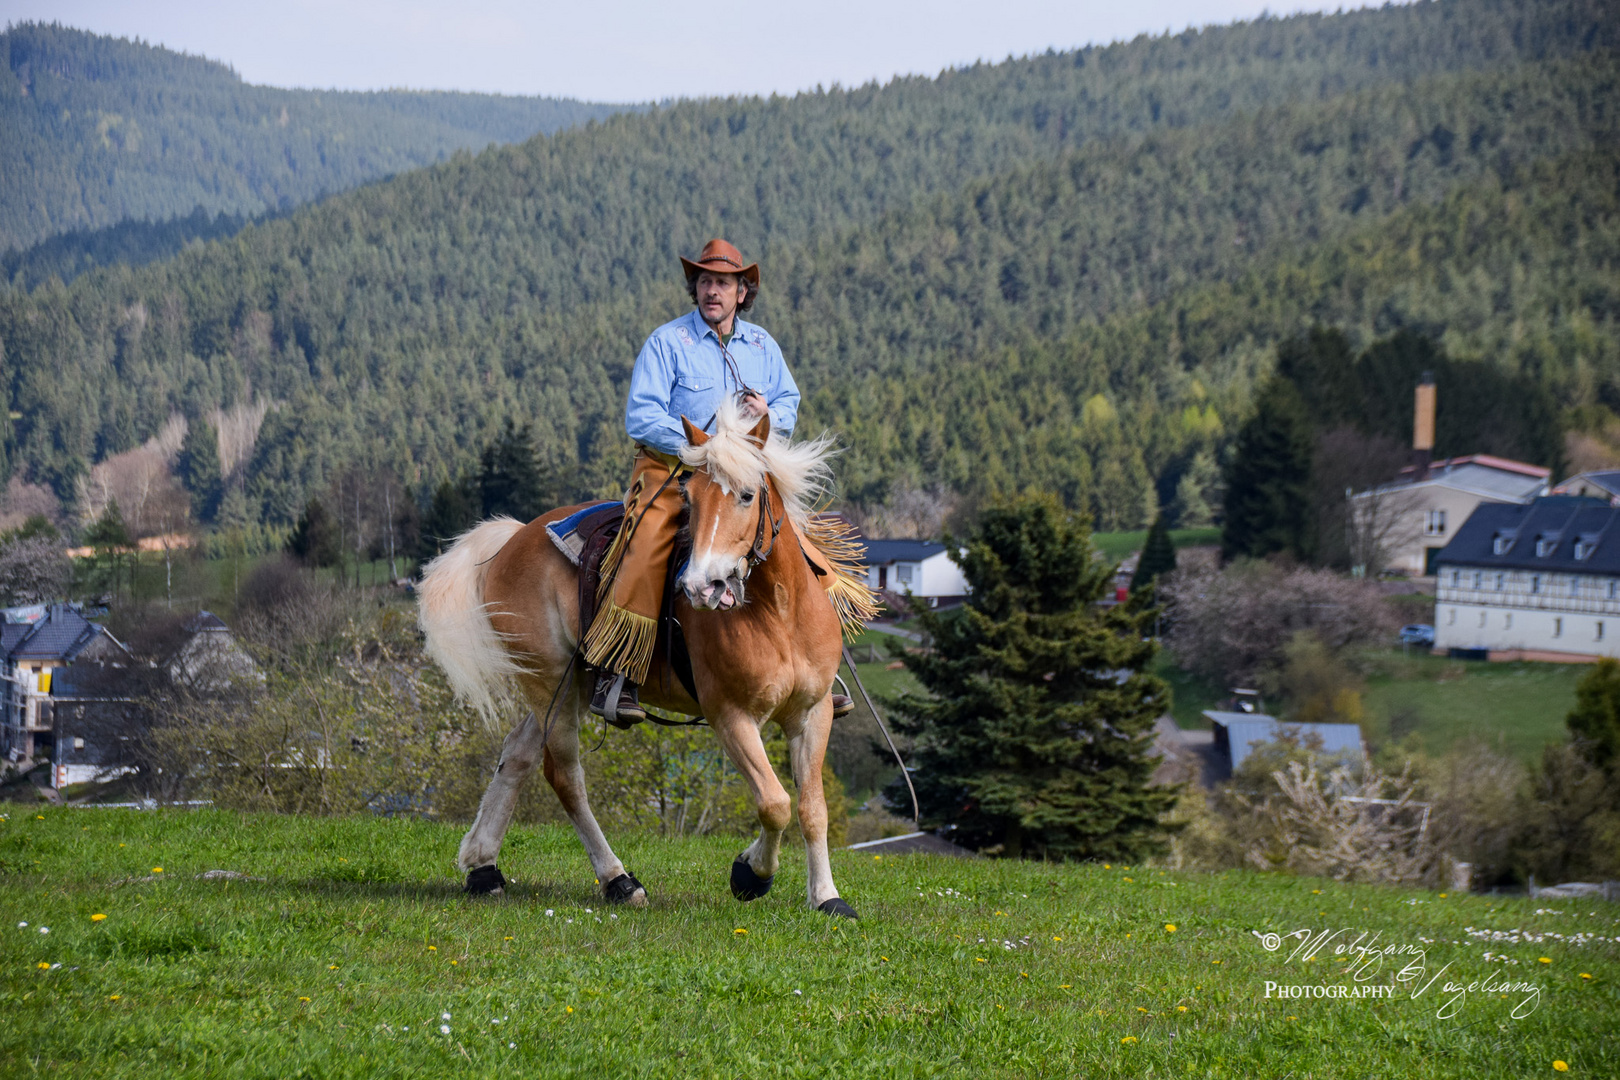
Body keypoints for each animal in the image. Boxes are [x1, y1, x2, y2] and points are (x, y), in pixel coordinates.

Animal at [421, 401, 874, 919]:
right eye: (690, 499)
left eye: (746, 495)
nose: (701, 586)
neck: (779, 610)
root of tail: (514, 538)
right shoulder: (731, 717)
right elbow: (773, 803)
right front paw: (751, 874)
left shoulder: (812, 714)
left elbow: (811, 809)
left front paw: (827, 897)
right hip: (549, 679)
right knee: (565, 776)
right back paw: (617, 880)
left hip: (569, 686)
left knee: (517, 754)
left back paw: (483, 869)